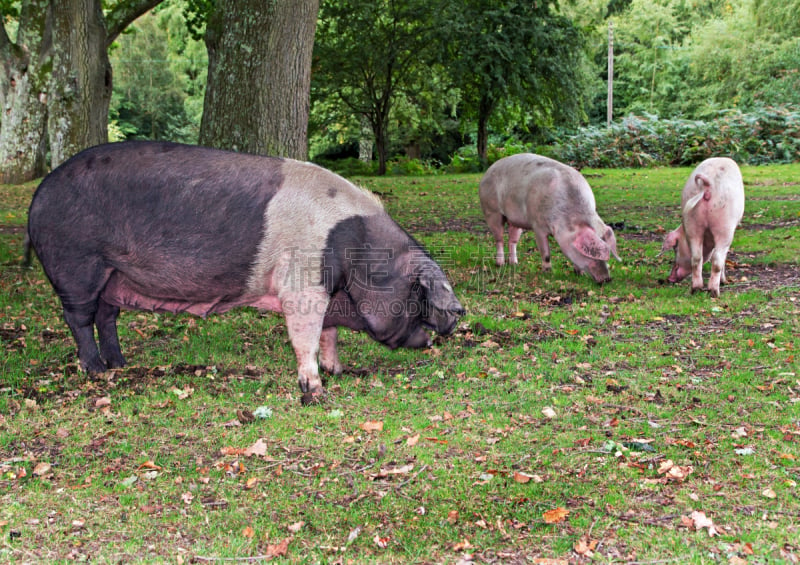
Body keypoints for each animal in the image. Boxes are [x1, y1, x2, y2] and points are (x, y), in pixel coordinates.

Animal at [28, 143, 466, 404]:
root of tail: (40, 195)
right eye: (423, 291)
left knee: (107, 315)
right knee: (79, 318)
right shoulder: (301, 285)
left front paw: (338, 372)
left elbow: (329, 333)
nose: (458, 314)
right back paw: (96, 370)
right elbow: (306, 337)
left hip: (113, 276)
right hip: (77, 264)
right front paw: (316, 393)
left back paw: (119, 364)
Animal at [478, 152, 620, 282]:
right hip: (491, 210)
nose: (607, 279)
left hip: (515, 220)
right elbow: (546, 253)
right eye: (591, 255)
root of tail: (489, 170)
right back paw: (500, 264)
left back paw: (514, 263)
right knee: (499, 239)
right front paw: (547, 273)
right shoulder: (538, 226)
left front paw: (579, 274)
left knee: (512, 240)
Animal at [660, 154, 748, 296]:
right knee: (717, 259)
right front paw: (724, 282)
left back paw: (696, 289)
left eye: (675, 248)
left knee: (696, 258)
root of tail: (707, 185)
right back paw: (715, 292)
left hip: (692, 221)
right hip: (724, 224)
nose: (670, 279)